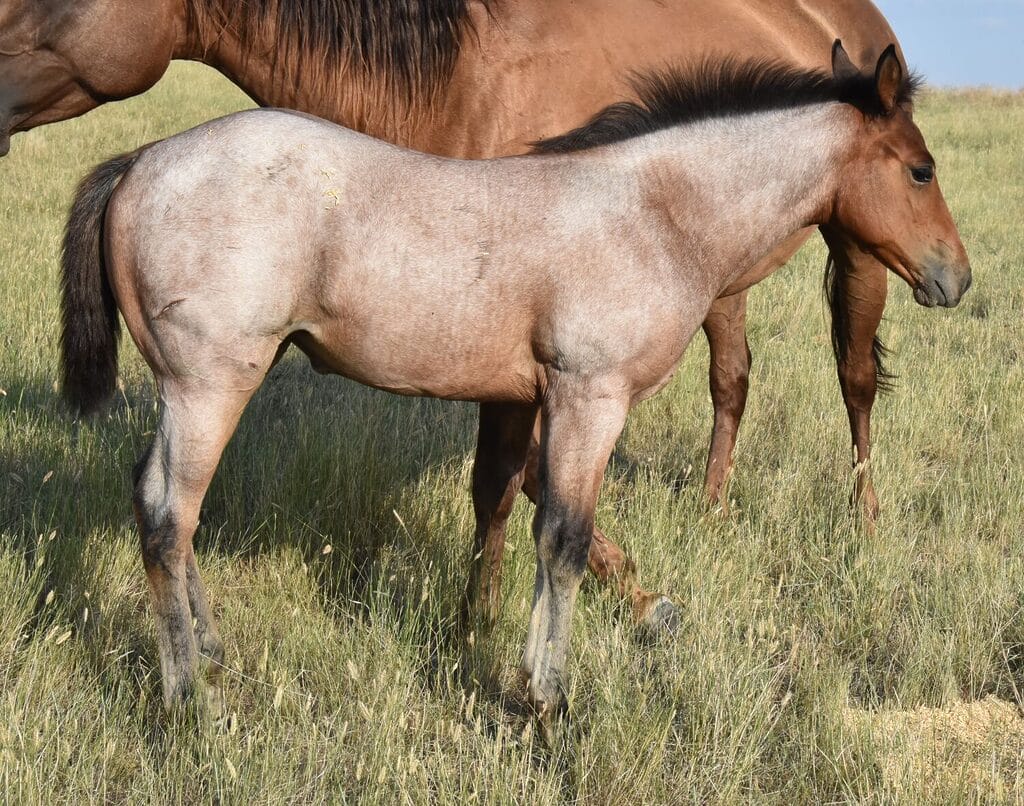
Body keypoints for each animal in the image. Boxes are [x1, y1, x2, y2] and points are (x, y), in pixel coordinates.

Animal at [59, 48, 970, 733]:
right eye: (922, 170)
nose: (955, 279)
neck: (654, 212)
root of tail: (139, 162)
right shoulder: (588, 397)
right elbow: (563, 537)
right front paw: (546, 697)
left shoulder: (534, 400)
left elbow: (514, 506)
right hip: (209, 384)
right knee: (167, 514)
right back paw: (187, 696)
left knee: (163, 504)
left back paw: (213, 656)